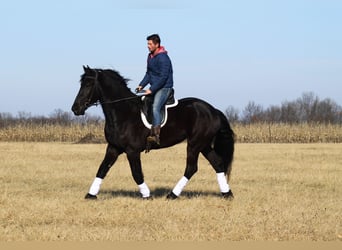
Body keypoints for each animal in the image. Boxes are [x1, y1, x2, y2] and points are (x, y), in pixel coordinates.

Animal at [71, 65, 234, 200]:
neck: (123, 112)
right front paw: (91, 195)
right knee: (218, 163)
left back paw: (172, 195)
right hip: (203, 145)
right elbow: (102, 169)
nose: (75, 109)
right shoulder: (113, 147)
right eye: (82, 84)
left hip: (195, 144)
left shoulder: (132, 150)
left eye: (88, 84)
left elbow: (136, 173)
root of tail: (213, 110)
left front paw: (147, 195)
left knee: (191, 168)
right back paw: (227, 193)